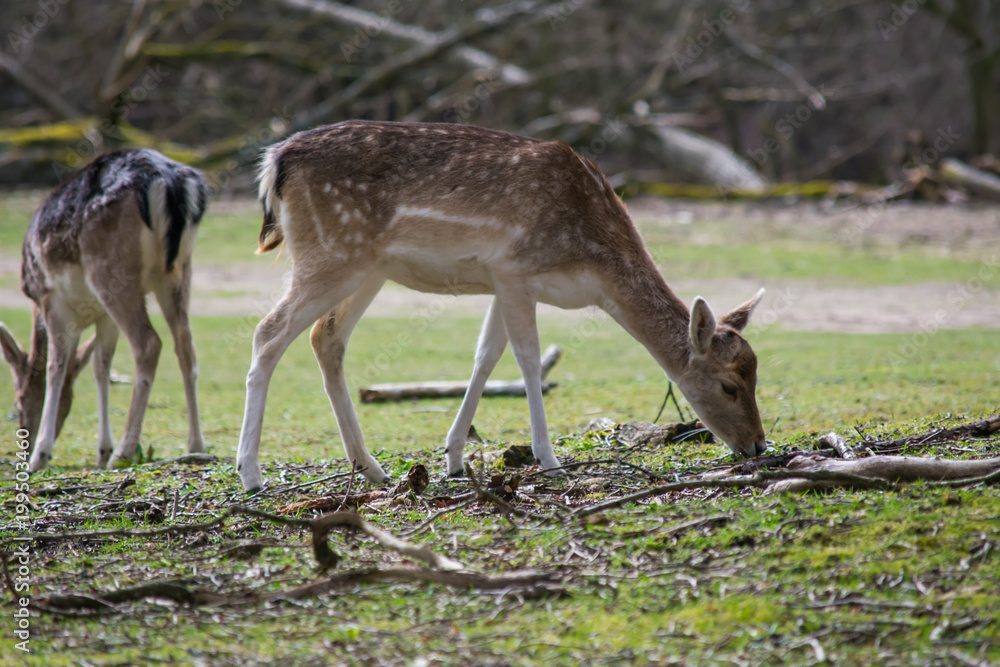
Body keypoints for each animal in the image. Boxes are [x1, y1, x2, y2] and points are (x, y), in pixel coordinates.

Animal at [0, 148, 207, 472]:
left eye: (18, 400)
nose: (25, 443)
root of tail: (169, 181)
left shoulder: (51, 301)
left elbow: (55, 367)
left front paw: (40, 456)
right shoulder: (104, 317)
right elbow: (100, 367)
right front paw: (101, 450)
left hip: (111, 270)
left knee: (149, 343)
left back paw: (123, 453)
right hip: (177, 272)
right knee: (186, 345)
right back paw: (195, 446)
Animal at [237, 120, 767, 492]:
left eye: (755, 374)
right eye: (729, 386)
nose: (758, 444)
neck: (595, 265)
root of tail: (274, 163)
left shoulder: (498, 281)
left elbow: (486, 356)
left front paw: (453, 456)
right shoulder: (514, 270)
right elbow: (527, 360)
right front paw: (548, 460)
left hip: (368, 267)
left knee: (325, 337)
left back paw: (370, 469)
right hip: (332, 252)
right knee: (267, 331)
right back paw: (251, 473)